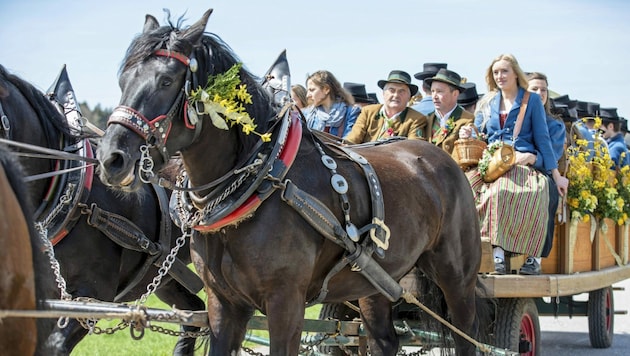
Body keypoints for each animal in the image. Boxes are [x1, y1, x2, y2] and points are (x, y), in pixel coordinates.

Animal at [95, 9, 488, 354]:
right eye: (123, 81)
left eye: (166, 80)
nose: (112, 158)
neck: (258, 186)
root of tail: (440, 158)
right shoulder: (223, 303)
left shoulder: (285, 301)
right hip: (373, 280)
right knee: (384, 341)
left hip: (457, 276)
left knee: (468, 338)